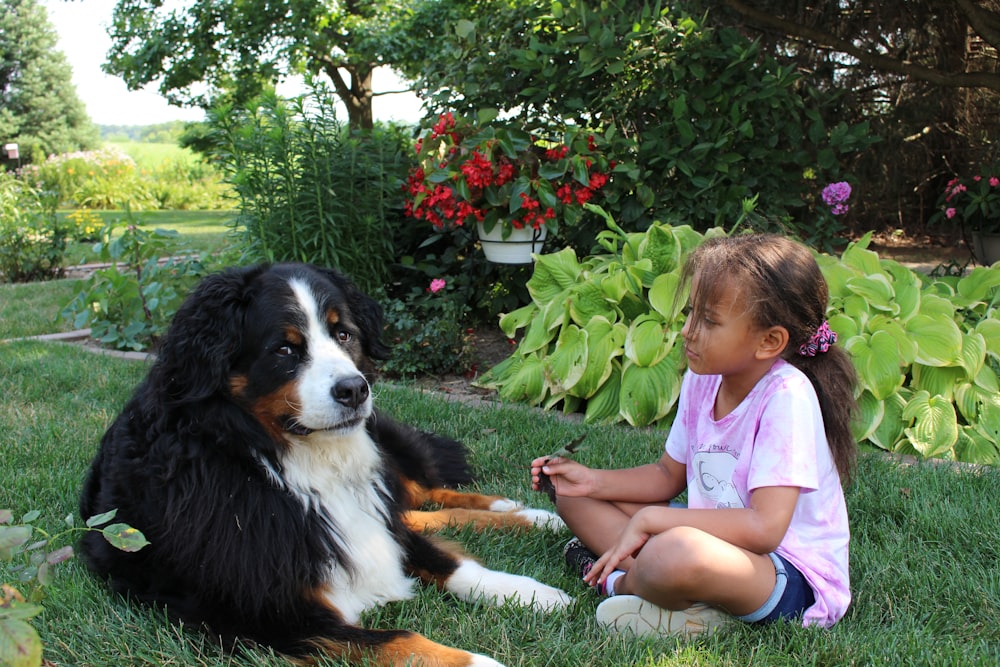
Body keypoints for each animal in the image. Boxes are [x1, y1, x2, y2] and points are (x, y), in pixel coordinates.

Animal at [78, 264, 572, 667]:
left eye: (344, 334)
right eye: (284, 349)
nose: (355, 390)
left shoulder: (368, 524)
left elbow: (454, 565)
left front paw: (530, 592)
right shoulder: (259, 614)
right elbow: (399, 639)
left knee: (423, 497)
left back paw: (531, 514)